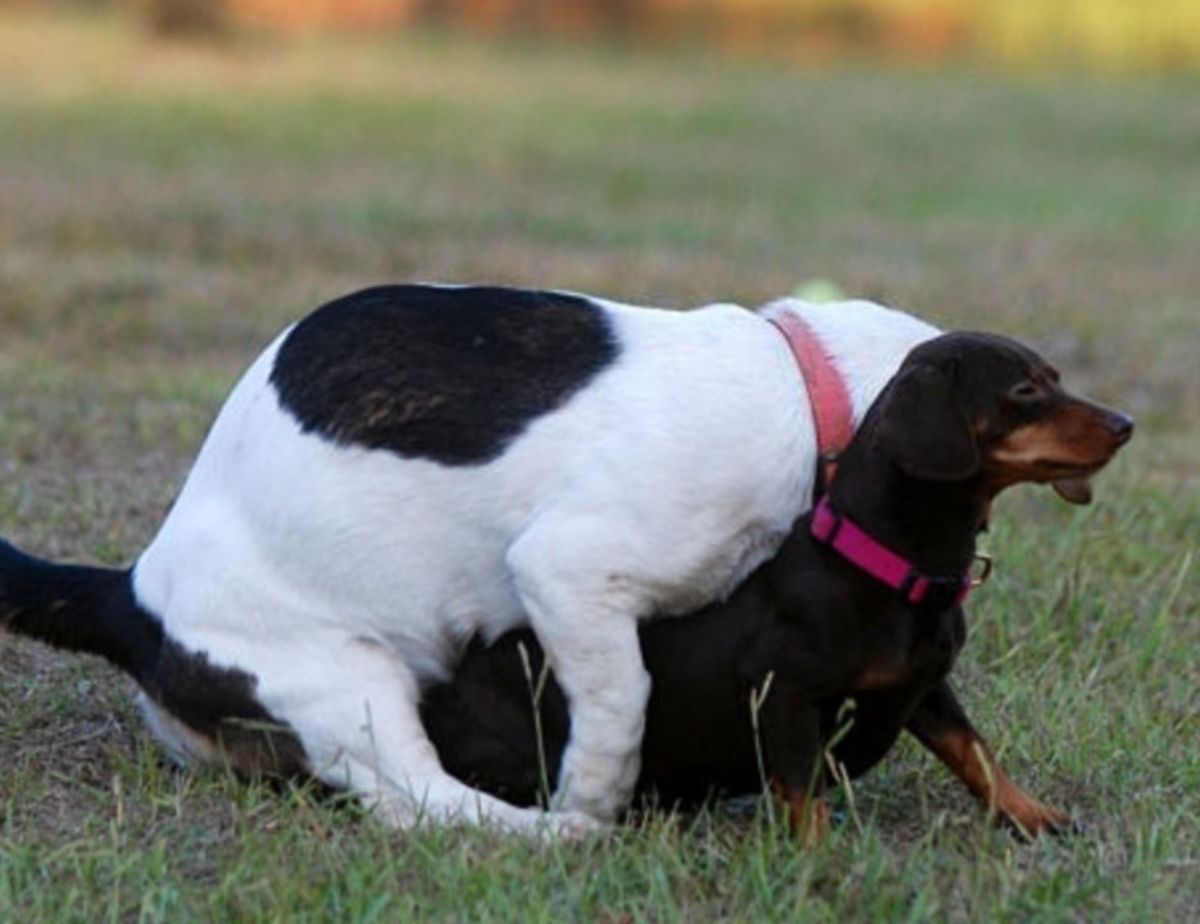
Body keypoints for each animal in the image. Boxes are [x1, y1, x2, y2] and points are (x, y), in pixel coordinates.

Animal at [0, 284, 940, 830]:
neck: (802, 385)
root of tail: (134, 595)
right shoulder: (569, 571)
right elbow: (621, 703)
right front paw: (594, 798)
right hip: (349, 683)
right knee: (424, 804)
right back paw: (550, 833)